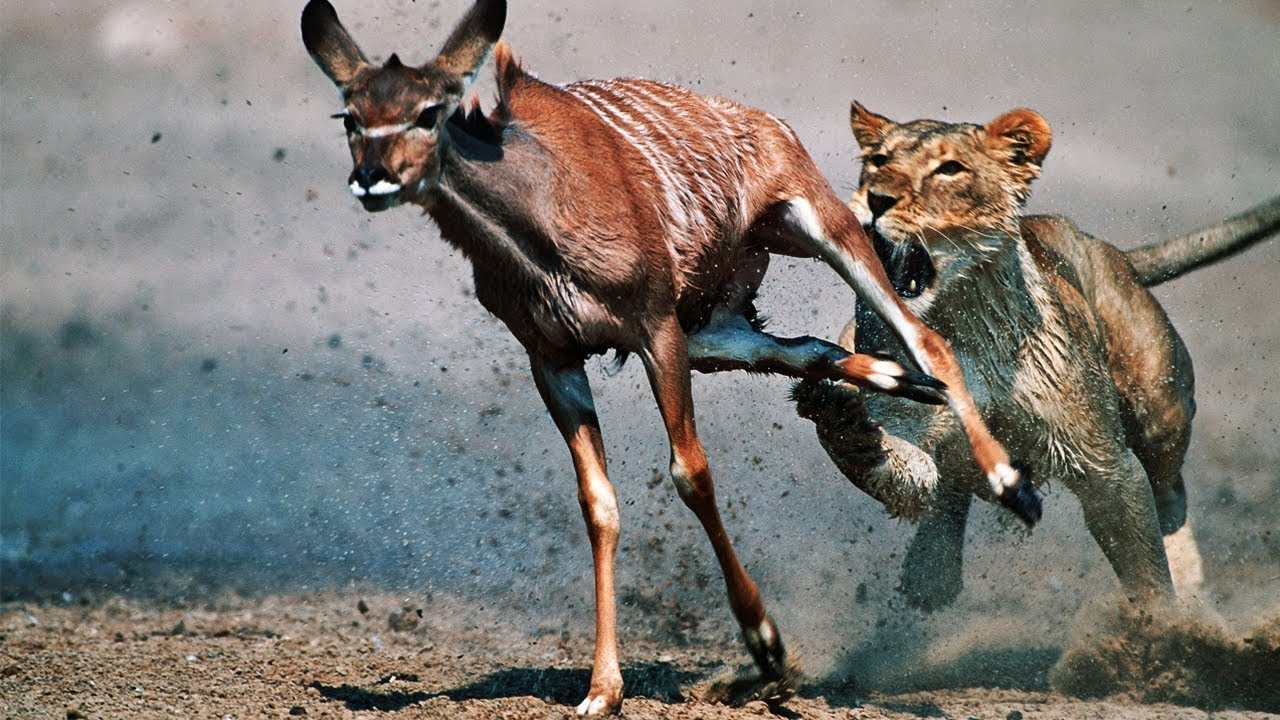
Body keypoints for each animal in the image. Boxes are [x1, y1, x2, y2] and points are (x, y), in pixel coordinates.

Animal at [792, 101, 1279, 610]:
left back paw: (1194, 598)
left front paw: (1163, 626)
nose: (876, 199)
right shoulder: (908, 414)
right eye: (879, 161)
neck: (959, 320)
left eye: (949, 169)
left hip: (1160, 411)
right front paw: (841, 420)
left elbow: (1145, 570)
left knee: (1170, 495)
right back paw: (930, 575)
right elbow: (903, 468)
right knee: (947, 502)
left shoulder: (1106, 463)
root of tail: (1112, 252)